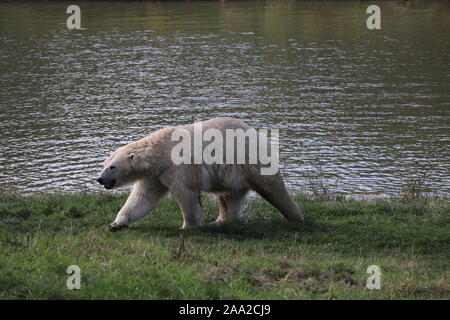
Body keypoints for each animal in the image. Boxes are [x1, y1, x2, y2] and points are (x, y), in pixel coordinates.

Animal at [96, 117, 304, 230]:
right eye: (104, 164)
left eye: (112, 167)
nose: (99, 179)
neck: (162, 150)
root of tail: (254, 132)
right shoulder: (156, 175)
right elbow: (142, 198)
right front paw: (115, 224)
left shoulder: (179, 166)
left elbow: (186, 195)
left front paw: (187, 226)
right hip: (230, 173)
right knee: (229, 196)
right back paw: (221, 220)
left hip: (248, 159)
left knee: (272, 187)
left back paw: (296, 217)